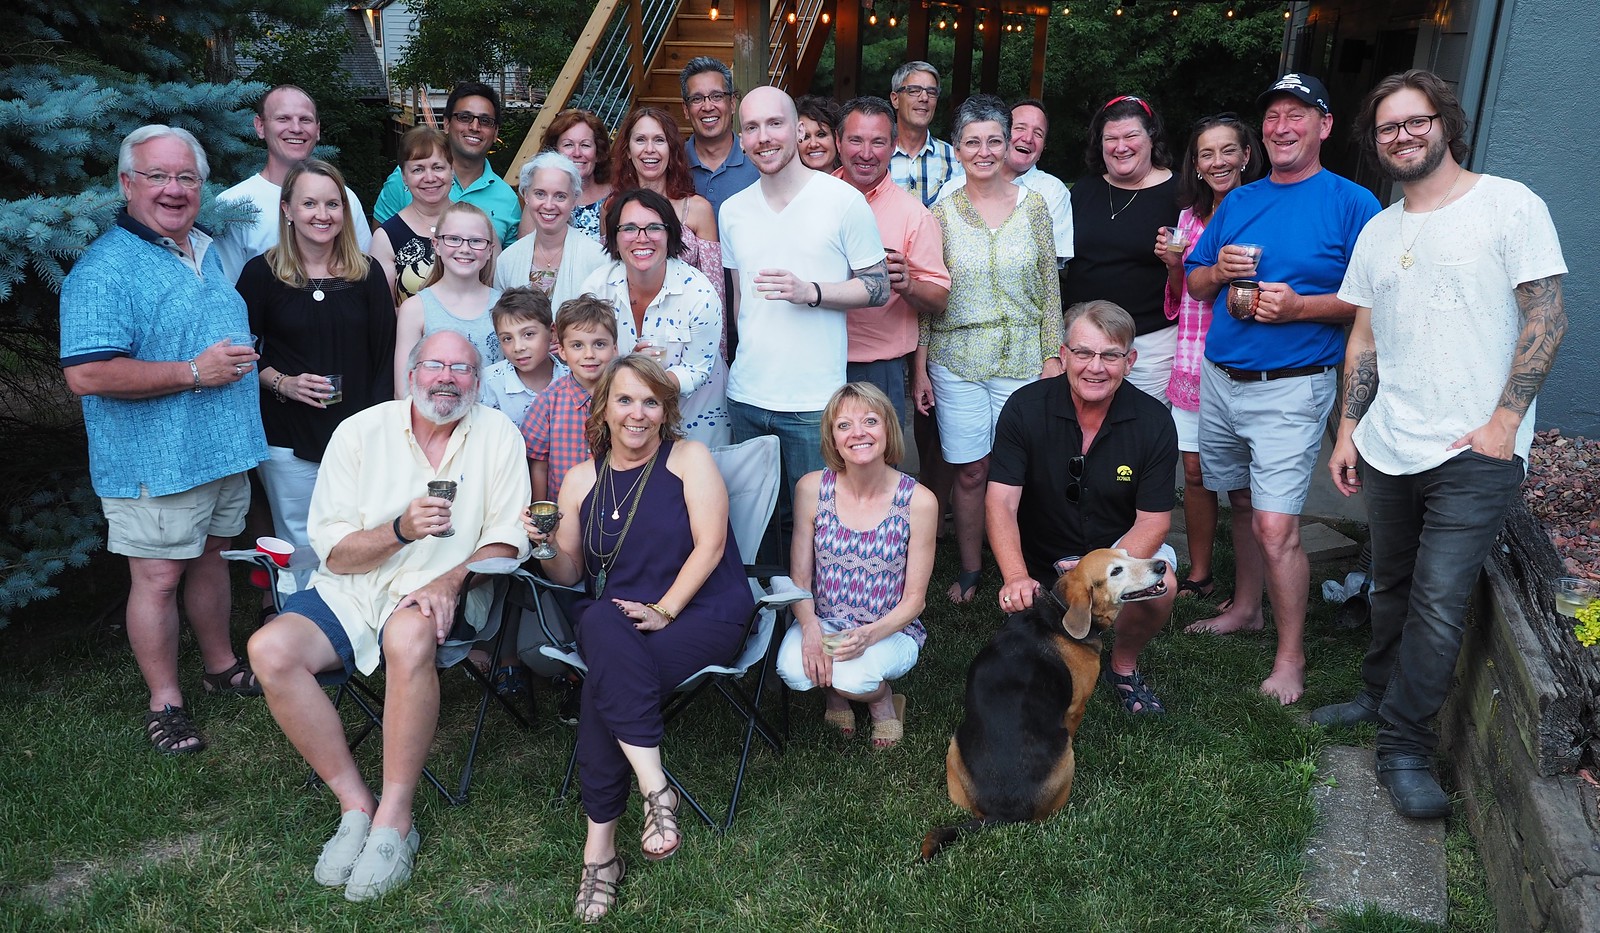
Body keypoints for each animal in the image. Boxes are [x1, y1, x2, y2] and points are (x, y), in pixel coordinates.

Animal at [920, 548, 1168, 860]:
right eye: (1115, 571)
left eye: (1127, 553)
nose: (1162, 565)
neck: (1059, 612)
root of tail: (1000, 814)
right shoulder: (1076, 708)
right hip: (1065, 757)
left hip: (954, 747)